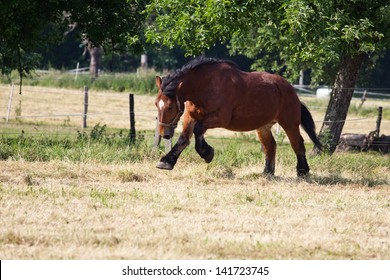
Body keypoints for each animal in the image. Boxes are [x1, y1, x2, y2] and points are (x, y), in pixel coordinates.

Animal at [154, 56, 322, 177]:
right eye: (157, 104)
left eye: (170, 106)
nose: (164, 134)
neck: (205, 86)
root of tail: (290, 89)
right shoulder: (190, 116)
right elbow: (183, 139)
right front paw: (167, 161)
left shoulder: (220, 118)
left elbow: (198, 130)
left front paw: (207, 152)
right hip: (263, 126)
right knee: (270, 146)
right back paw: (267, 172)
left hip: (289, 123)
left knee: (297, 144)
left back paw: (302, 171)